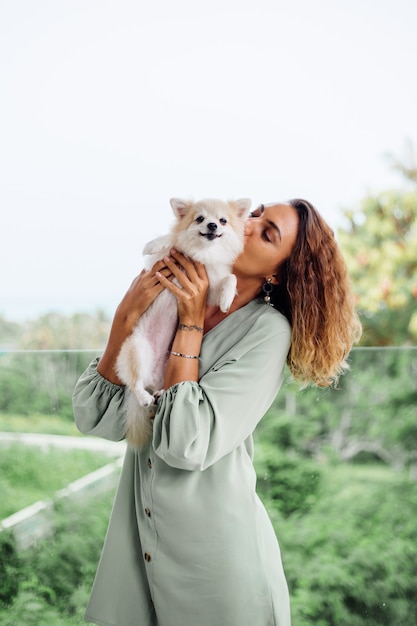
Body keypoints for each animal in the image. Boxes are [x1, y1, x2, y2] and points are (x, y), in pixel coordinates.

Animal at [114, 197, 250, 446]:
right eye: (200, 218)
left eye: (223, 221)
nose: (212, 225)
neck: (202, 255)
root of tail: (153, 377)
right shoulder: (157, 265)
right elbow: (172, 240)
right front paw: (154, 243)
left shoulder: (209, 290)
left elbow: (230, 278)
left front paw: (227, 299)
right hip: (137, 348)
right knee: (134, 383)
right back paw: (144, 396)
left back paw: (158, 393)